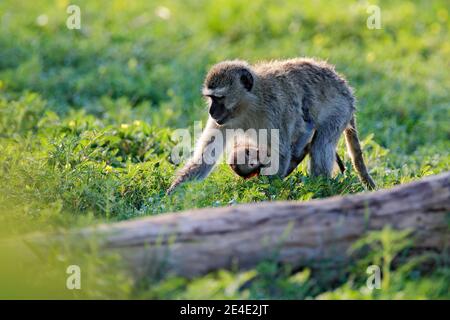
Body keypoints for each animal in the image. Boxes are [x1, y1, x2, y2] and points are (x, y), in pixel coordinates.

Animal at [167, 57, 374, 194]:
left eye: (219, 98)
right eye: (211, 99)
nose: (211, 112)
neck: (250, 104)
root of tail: (345, 88)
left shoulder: (276, 110)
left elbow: (280, 153)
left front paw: (268, 192)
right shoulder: (223, 121)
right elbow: (204, 157)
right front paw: (172, 196)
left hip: (339, 110)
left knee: (320, 146)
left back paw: (319, 189)